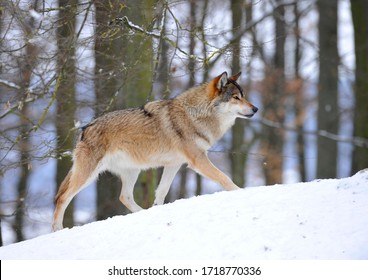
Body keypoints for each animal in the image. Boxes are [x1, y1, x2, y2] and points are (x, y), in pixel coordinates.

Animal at [51, 71, 258, 231]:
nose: (256, 108)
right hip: (88, 175)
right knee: (62, 197)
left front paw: (157, 209)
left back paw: (143, 213)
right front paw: (240, 192)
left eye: (244, 95)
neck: (196, 114)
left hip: (132, 171)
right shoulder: (198, 160)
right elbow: (225, 178)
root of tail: (84, 128)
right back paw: (57, 229)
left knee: (124, 196)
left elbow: (162, 191)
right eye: (236, 98)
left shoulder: (174, 164)